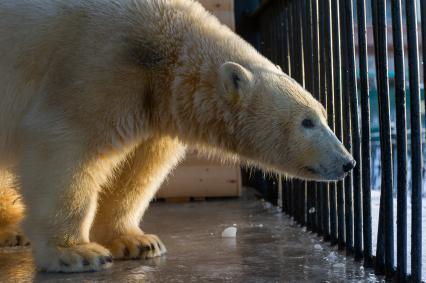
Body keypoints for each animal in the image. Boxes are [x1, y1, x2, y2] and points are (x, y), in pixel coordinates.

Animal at [0, 0, 352, 274]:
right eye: (307, 122)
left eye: (324, 115)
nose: (347, 162)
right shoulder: (96, 66)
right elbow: (66, 146)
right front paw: (76, 253)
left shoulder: (152, 107)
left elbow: (136, 170)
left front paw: (137, 242)